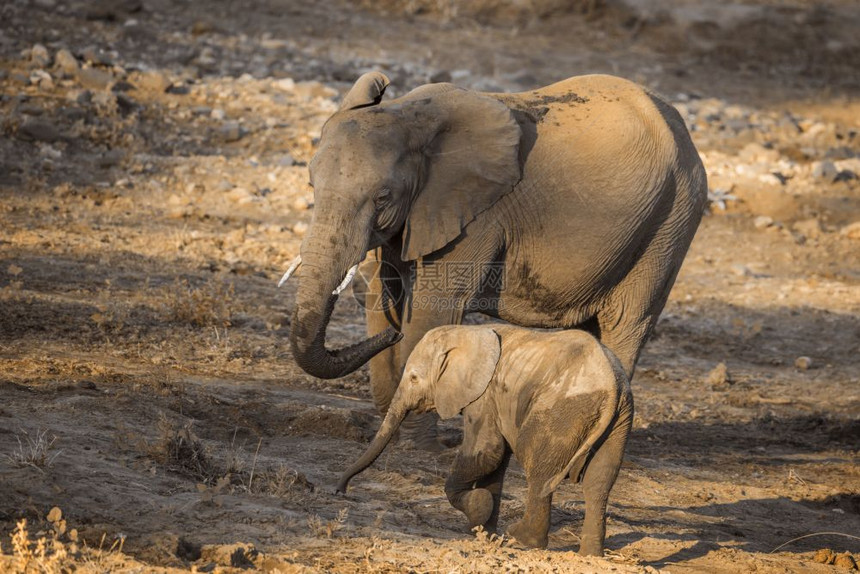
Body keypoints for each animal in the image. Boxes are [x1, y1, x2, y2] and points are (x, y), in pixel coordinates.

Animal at [286, 72, 708, 450]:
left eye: (382, 197)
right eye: (311, 184)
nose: (391, 335)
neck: (408, 115)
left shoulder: (475, 217)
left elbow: (430, 312)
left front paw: (415, 448)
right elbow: (383, 293)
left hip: (670, 223)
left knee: (626, 323)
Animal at [336, 328, 632, 560]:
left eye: (413, 378)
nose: (341, 491)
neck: (464, 333)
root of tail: (612, 386)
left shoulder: (483, 396)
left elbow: (487, 452)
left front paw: (478, 513)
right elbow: (495, 464)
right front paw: (484, 532)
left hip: (560, 412)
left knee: (540, 472)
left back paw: (520, 539)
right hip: (617, 422)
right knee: (599, 482)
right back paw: (589, 555)